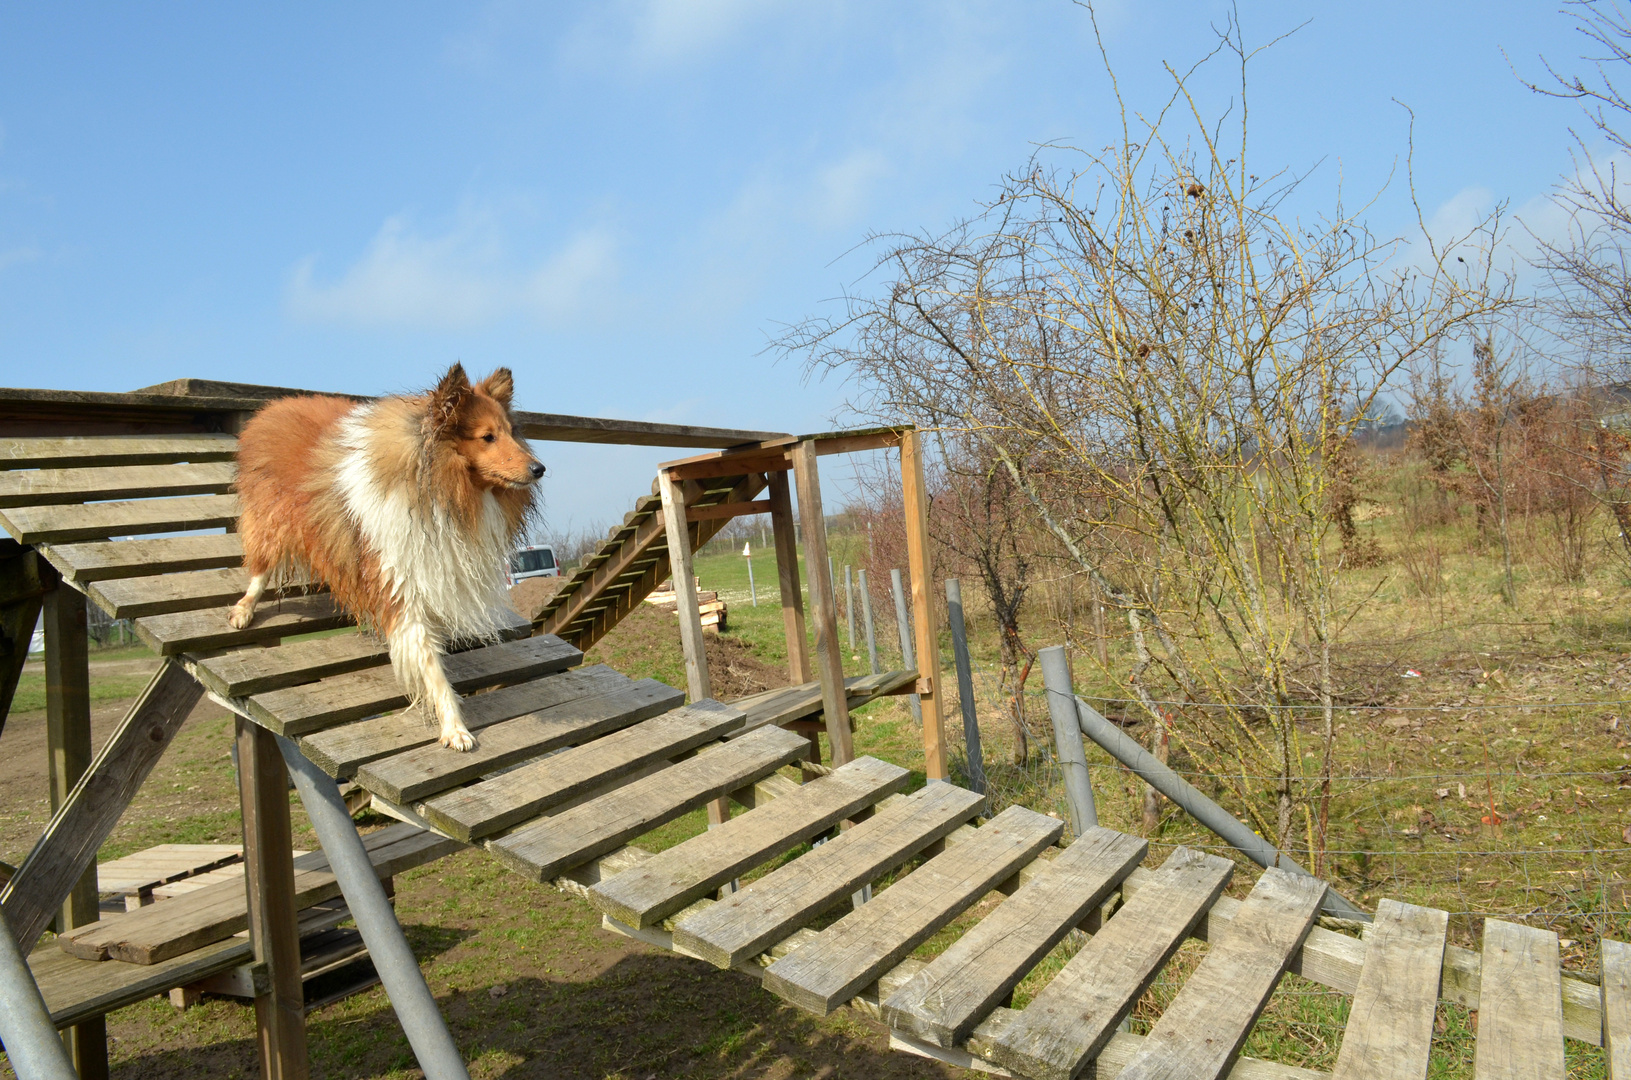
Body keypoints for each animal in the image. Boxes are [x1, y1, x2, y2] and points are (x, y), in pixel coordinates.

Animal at [228, 363, 541, 753]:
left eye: (512, 433)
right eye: (487, 437)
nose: (539, 468)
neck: (438, 488)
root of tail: (274, 407)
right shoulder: (398, 582)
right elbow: (429, 662)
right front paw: (454, 728)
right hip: (271, 521)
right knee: (260, 568)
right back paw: (243, 609)